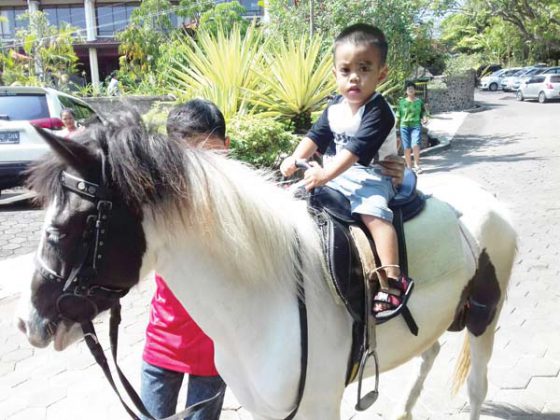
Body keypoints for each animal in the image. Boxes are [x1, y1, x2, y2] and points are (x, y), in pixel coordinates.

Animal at [15, 111, 517, 420]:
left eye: (70, 226)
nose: (28, 323)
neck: (267, 302)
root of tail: (491, 202)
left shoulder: (318, 406)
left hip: (485, 318)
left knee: (478, 385)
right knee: (429, 350)